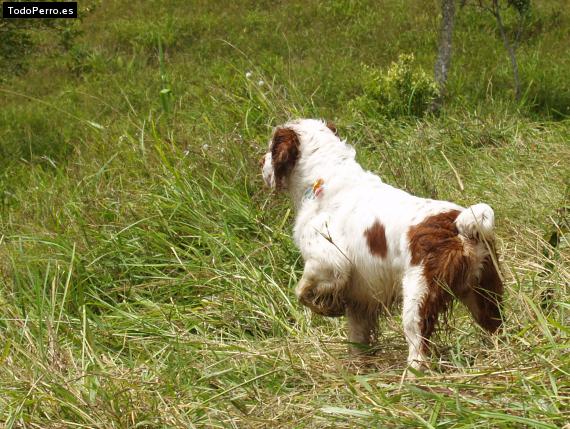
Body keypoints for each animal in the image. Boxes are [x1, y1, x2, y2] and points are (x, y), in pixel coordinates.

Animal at [258, 118, 502, 370]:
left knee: (418, 347)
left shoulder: (328, 262)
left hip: (418, 298)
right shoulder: (360, 302)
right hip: (483, 293)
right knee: (495, 326)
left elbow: (302, 291)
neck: (323, 180)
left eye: (271, 147)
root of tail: (459, 226)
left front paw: (328, 308)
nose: (260, 162)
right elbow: (358, 339)